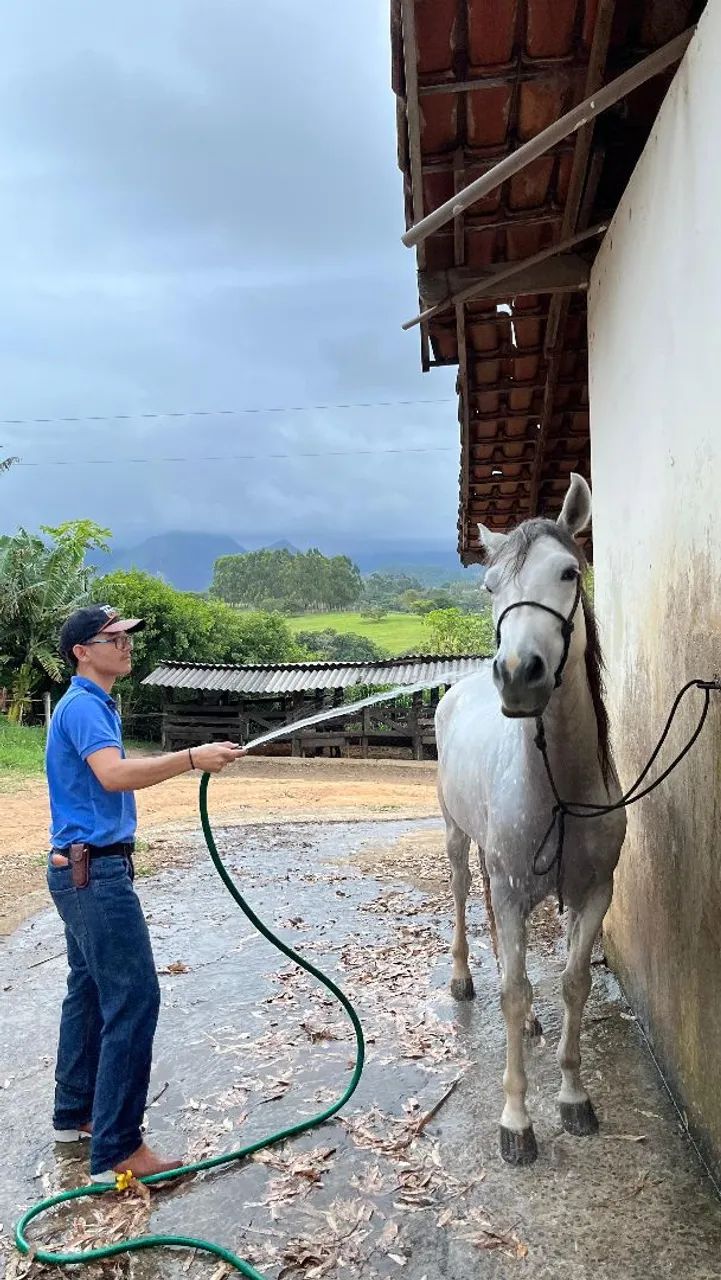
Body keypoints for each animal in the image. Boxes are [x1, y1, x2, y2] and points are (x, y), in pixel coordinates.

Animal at [435, 473, 626, 1165]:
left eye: (569, 572)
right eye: (491, 587)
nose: (519, 675)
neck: (560, 787)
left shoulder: (593, 892)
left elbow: (573, 982)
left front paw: (573, 1097)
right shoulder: (516, 890)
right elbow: (515, 992)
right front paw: (516, 1122)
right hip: (458, 840)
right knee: (466, 896)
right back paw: (464, 980)